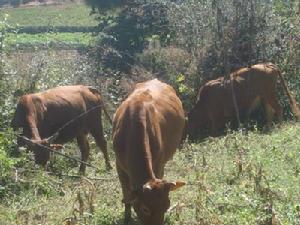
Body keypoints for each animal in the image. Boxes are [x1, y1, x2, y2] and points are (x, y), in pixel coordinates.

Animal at [113, 79, 186, 225]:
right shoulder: (119, 166)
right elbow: (126, 195)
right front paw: (127, 218)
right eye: (145, 209)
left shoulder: (158, 165)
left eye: (167, 206)